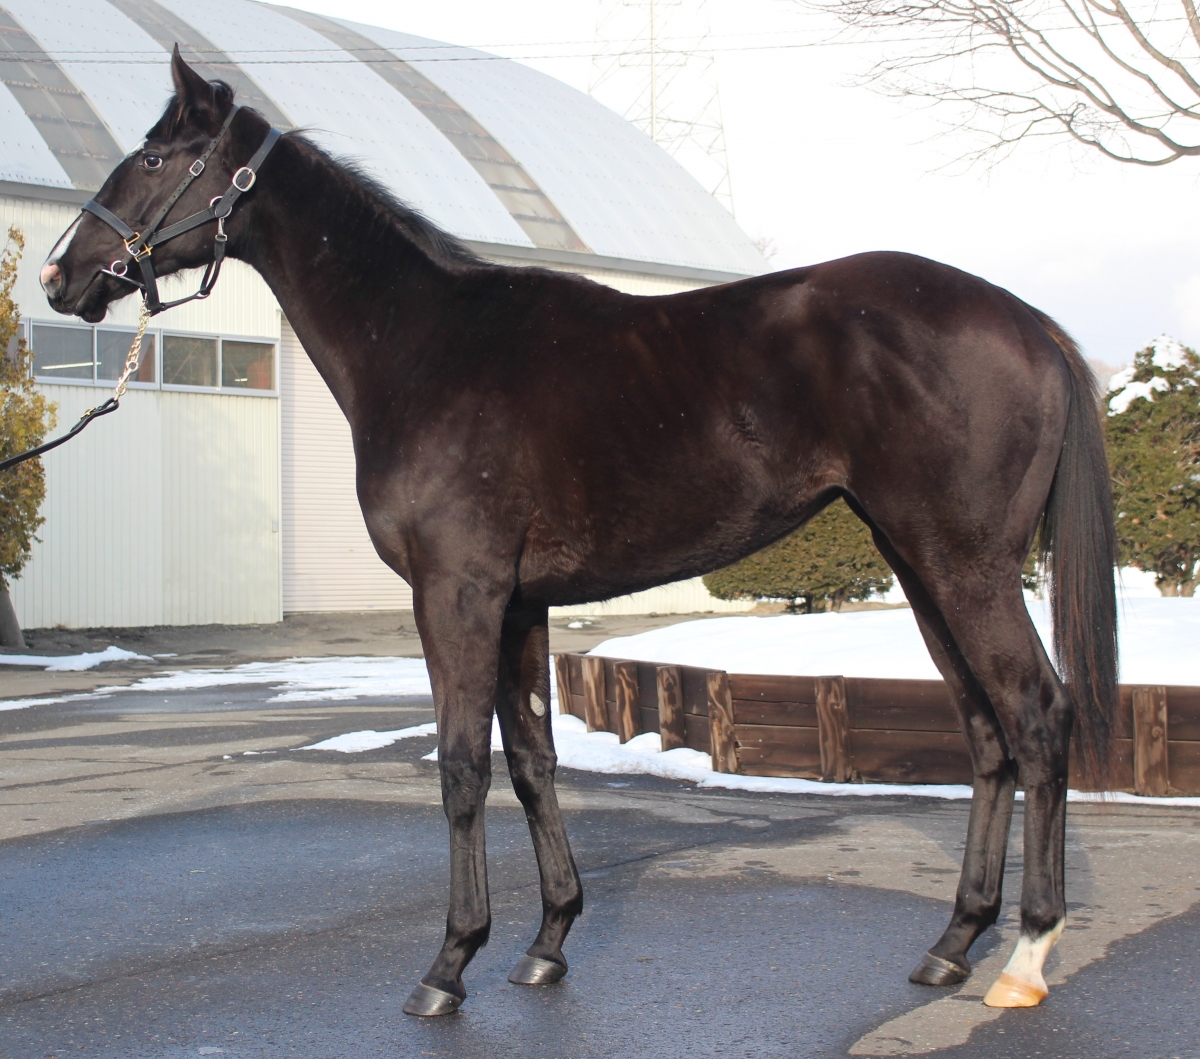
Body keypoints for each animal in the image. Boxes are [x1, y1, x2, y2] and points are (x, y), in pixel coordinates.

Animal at [41, 50, 1117, 1018]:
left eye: (151, 156)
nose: (60, 276)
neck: (427, 345)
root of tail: (1029, 322)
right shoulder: (518, 603)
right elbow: (532, 762)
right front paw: (547, 941)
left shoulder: (458, 593)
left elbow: (462, 765)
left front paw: (448, 964)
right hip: (920, 564)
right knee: (985, 733)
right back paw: (953, 943)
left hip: (965, 566)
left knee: (1036, 716)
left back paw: (1026, 956)